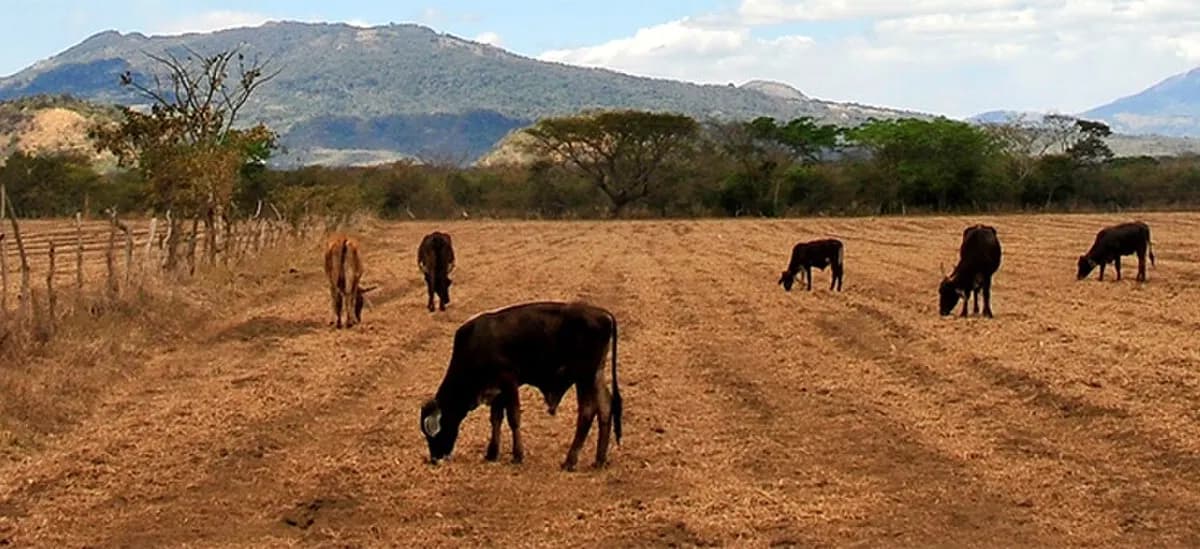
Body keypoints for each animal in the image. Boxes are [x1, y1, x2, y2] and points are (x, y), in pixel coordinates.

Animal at [419, 301, 622, 471]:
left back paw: (570, 461)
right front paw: (492, 453)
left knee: (587, 412)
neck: (477, 344)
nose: (435, 458)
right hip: (596, 375)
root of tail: (603, 314)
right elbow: (496, 419)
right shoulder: (497, 391)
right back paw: (599, 459)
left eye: (433, 434)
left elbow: (513, 418)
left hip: (584, 377)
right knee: (605, 406)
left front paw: (517, 455)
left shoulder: (509, 381)